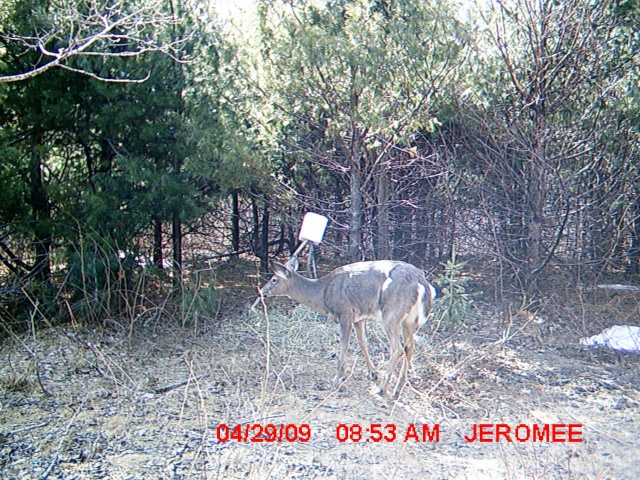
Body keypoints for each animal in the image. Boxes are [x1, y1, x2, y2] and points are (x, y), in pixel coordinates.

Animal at [258, 258, 438, 398]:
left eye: (274, 279)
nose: (261, 291)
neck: (322, 293)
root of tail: (421, 283)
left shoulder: (344, 312)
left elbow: (343, 345)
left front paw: (337, 379)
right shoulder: (359, 317)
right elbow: (362, 342)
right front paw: (372, 373)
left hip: (391, 313)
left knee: (397, 348)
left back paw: (381, 389)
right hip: (408, 320)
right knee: (409, 347)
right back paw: (396, 390)